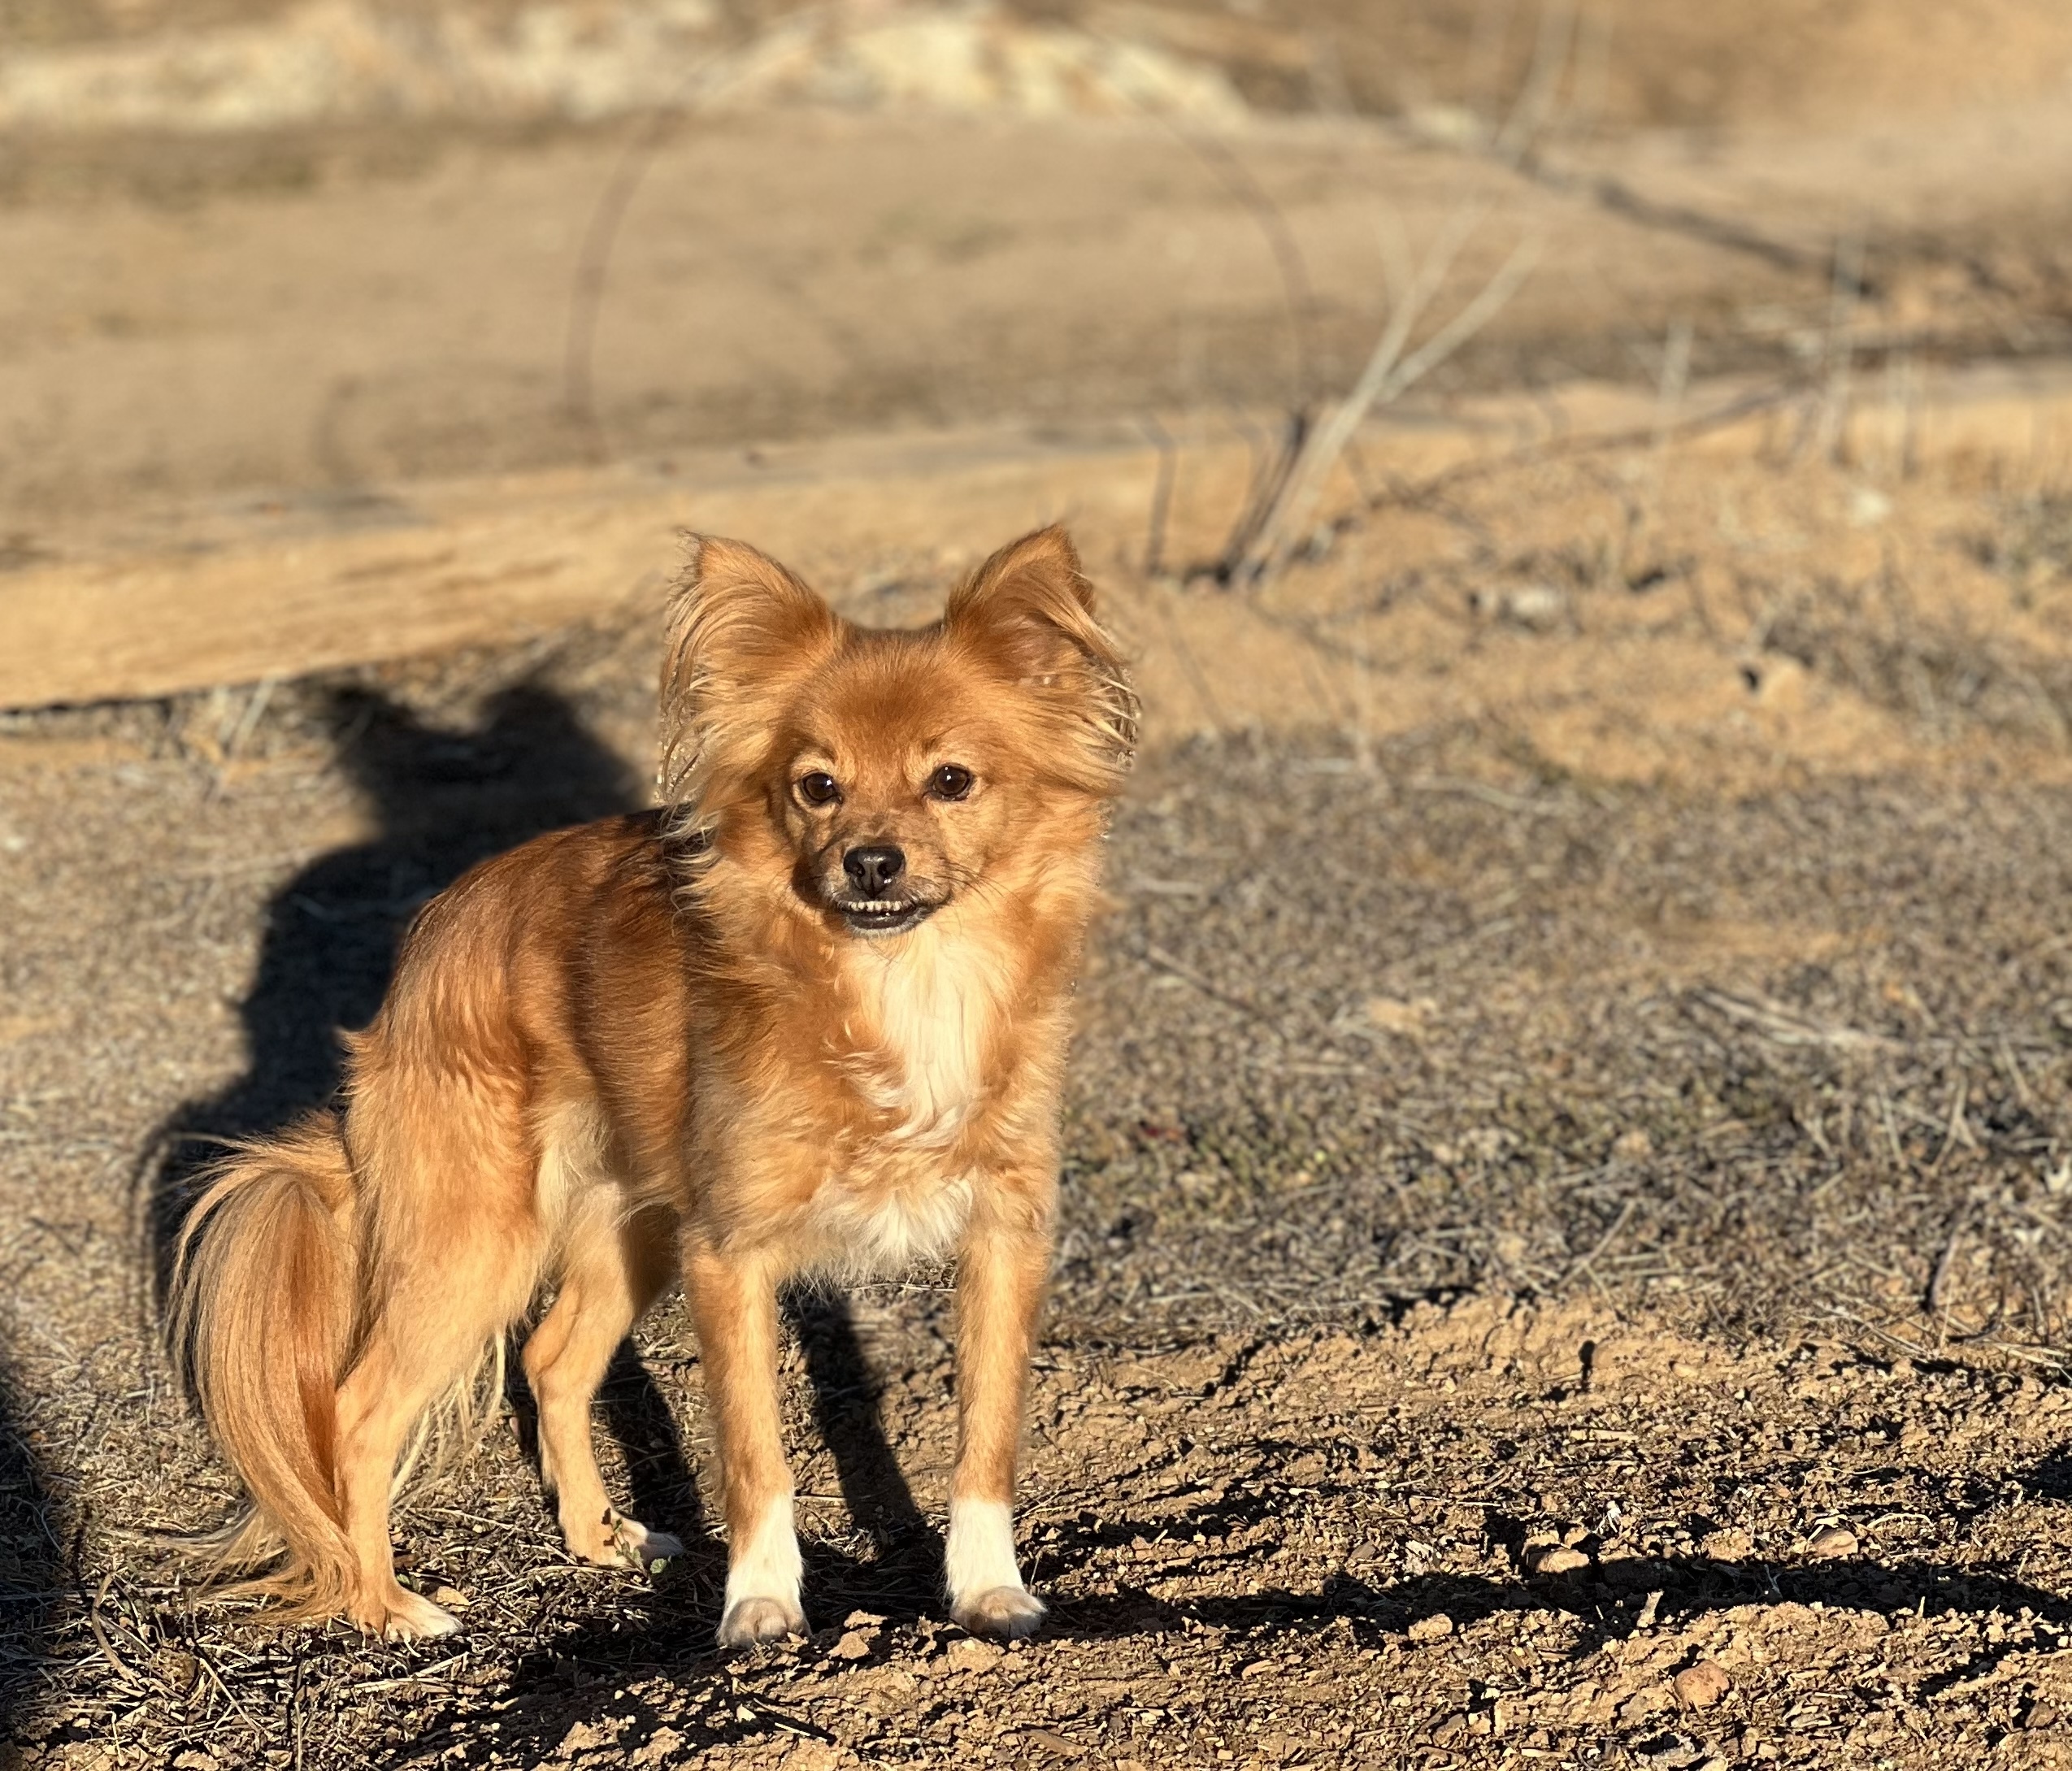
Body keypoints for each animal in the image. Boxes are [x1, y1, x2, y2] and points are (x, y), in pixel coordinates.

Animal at [170, 526, 1144, 1648]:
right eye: (816, 786)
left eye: (951, 780)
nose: (870, 862)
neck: (907, 979)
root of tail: (417, 966)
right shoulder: (730, 1253)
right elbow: (755, 1455)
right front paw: (761, 1607)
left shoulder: (1002, 1237)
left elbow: (986, 1436)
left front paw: (988, 1592)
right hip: (478, 1241)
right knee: (360, 1408)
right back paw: (388, 1606)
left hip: (629, 1229)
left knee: (551, 1362)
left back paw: (597, 1539)